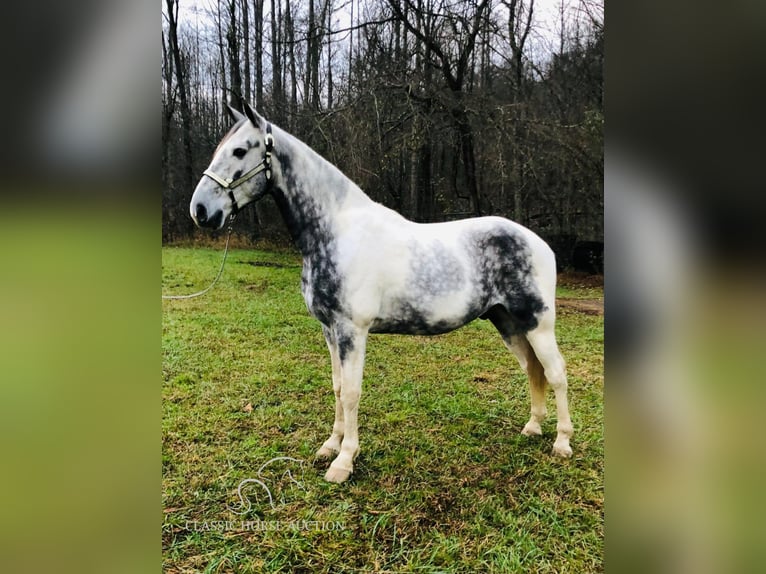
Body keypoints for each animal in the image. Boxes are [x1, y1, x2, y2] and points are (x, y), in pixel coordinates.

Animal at [190, 104, 576, 486]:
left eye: (240, 151)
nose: (201, 211)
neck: (337, 232)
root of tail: (540, 243)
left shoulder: (352, 330)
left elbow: (352, 392)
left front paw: (344, 461)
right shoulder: (329, 330)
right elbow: (337, 387)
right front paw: (330, 445)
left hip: (538, 323)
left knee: (555, 372)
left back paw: (562, 442)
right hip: (508, 322)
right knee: (533, 369)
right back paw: (532, 427)